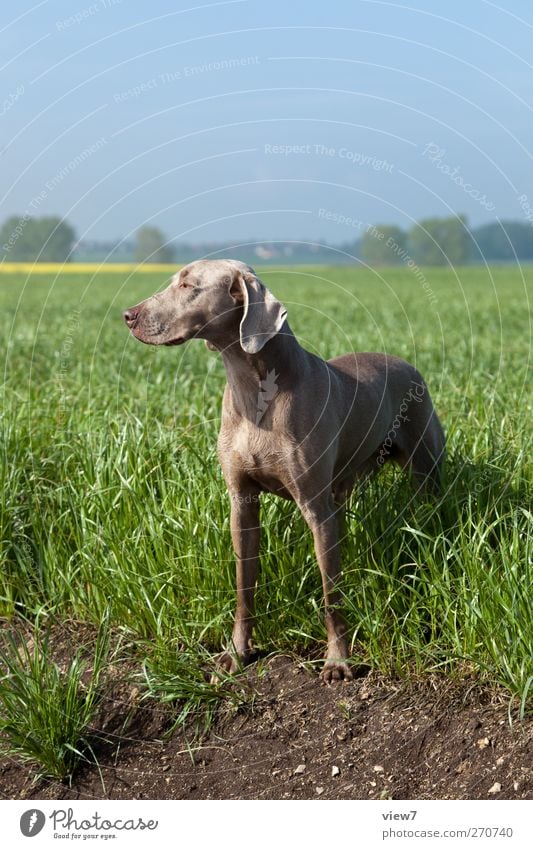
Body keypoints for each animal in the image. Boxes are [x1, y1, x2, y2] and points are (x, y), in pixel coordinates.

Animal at [124, 258, 444, 684]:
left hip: (425, 466)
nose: (128, 315)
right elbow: (244, 585)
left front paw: (338, 661)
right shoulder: (242, 502)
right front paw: (237, 653)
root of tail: (408, 365)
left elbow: (330, 593)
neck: (252, 387)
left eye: (189, 286)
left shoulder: (315, 507)